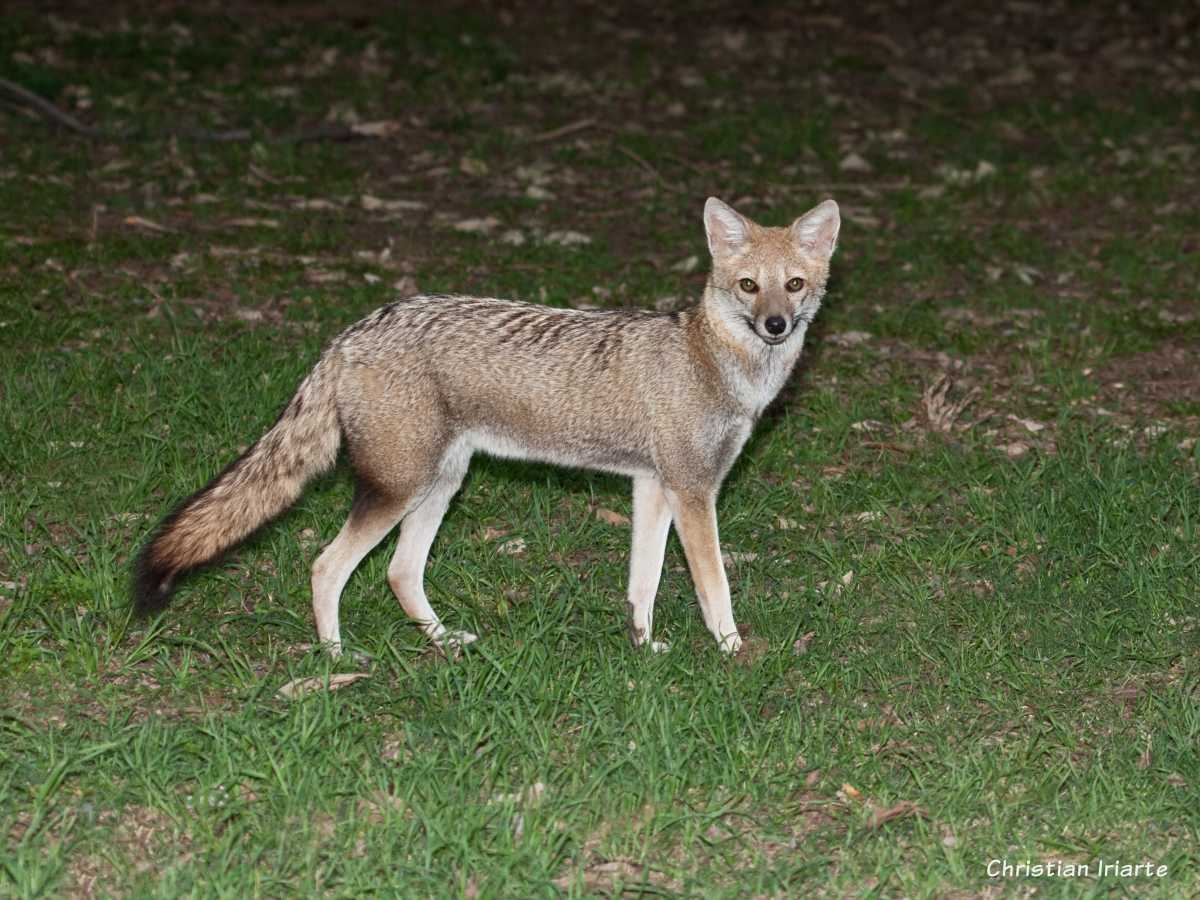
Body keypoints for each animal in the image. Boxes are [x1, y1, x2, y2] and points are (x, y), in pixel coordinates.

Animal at [134, 197, 840, 656]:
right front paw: (731, 651)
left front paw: (642, 647)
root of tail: (353, 331)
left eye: (792, 285)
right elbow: (713, 584)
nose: (775, 325)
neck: (716, 362)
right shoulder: (693, 492)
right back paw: (335, 662)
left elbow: (643, 582)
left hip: (440, 485)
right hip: (399, 488)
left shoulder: (653, 488)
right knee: (325, 566)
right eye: (748, 286)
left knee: (399, 573)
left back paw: (443, 641)